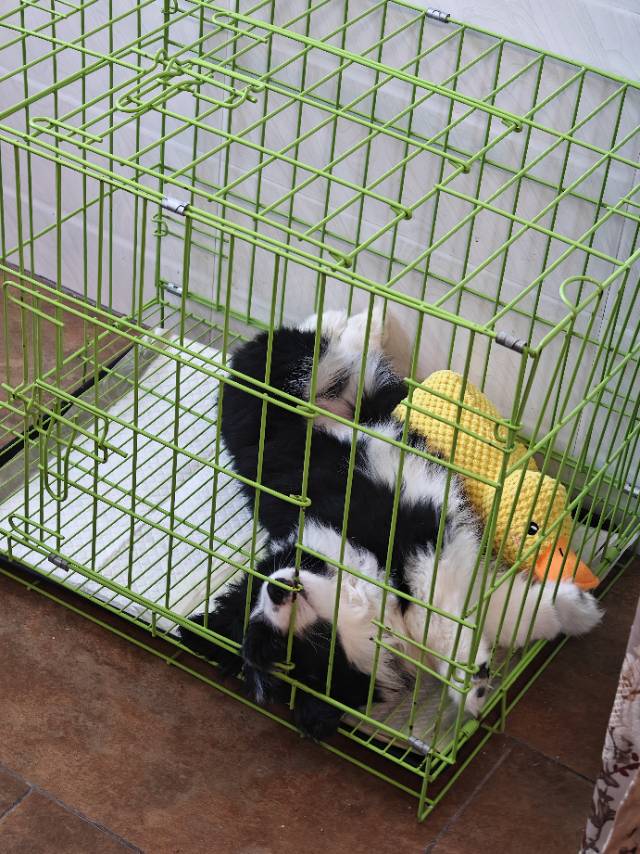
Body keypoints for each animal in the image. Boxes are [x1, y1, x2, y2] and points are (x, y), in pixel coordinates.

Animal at [180, 308, 602, 740]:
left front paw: (572, 610)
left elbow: (448, 611)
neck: (361, 588)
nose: (276, 588)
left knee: (318, 351)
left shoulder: (412, 538)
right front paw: (480, 679)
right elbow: (476, 614)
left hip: (279, 387)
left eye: (258, 584)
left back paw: (360, 316)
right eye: (290, 650)